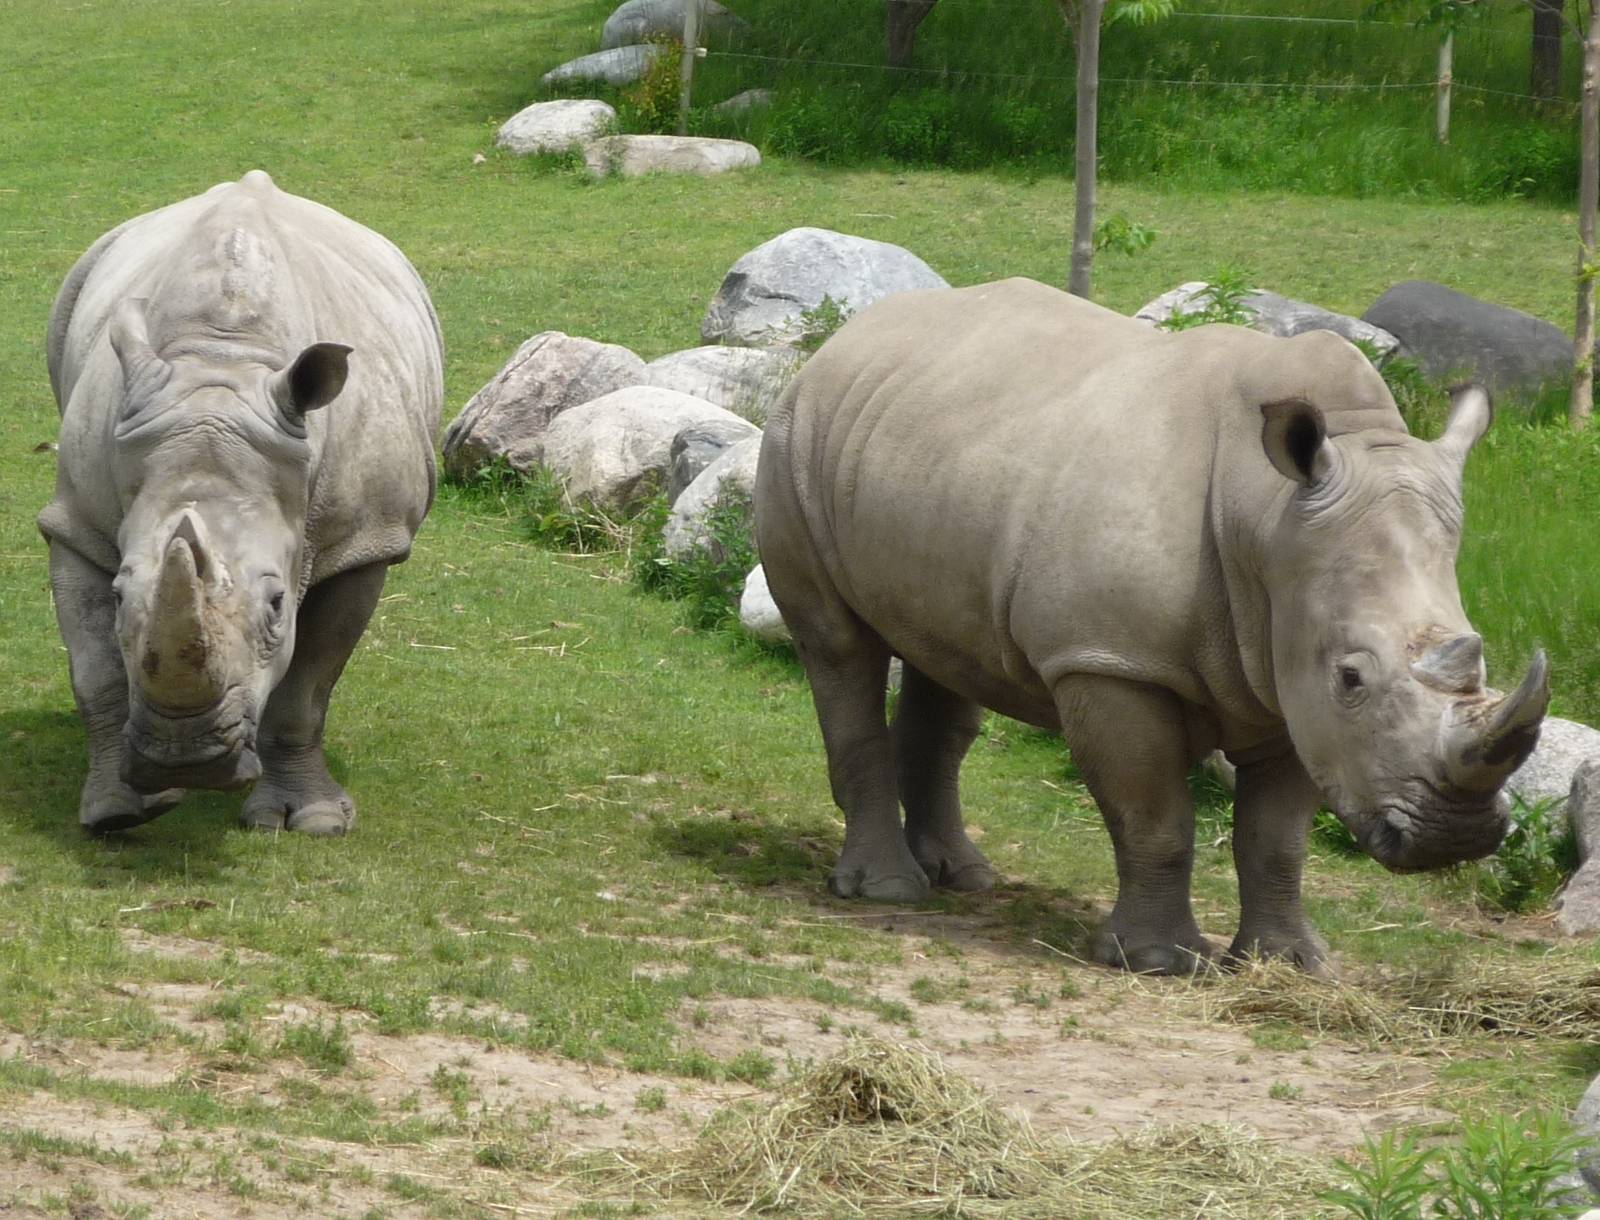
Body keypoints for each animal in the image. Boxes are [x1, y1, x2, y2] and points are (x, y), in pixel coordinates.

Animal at [38, 171, 443, 836]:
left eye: (277, 605)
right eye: (121, 595)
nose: (185, 758)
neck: (221, 369)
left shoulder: (363, 539)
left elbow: (307, 689)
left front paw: (311, 821)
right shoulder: (78, 521)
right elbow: (95, 672)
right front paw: (115, 813)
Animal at [755, 277, 1549, 974]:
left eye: (1481, 665)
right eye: (1352, 677)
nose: (1455, 839)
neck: (1266, 518)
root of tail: (847, 336)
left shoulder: (1288, 679)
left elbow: (1277, 839)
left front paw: (1291, 964)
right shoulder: (1112, 661)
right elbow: (1155, 815)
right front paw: (1158, 961)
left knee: (945, 661)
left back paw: (964, 876)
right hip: (797, 438)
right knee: (839, 648)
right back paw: (887, 889)